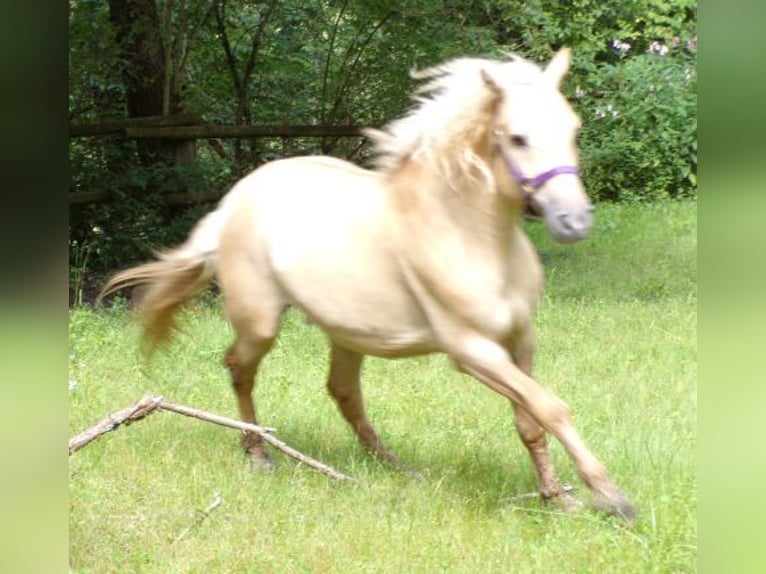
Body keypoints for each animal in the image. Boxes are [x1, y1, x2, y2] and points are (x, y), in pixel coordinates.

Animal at [97, 47, 636, 520]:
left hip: (348, 331)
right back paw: (259, 454)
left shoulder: (520, 338)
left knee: (343, 391)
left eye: (574, 130)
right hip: (261, 321)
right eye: (518, 138)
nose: (573, 221)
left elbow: (531, 419)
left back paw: (394, 466)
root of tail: (234, 200)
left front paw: (559, 498)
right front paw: (611, 497)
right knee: (239, 369)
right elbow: (550, 406)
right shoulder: (471, 350)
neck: (471, 237)